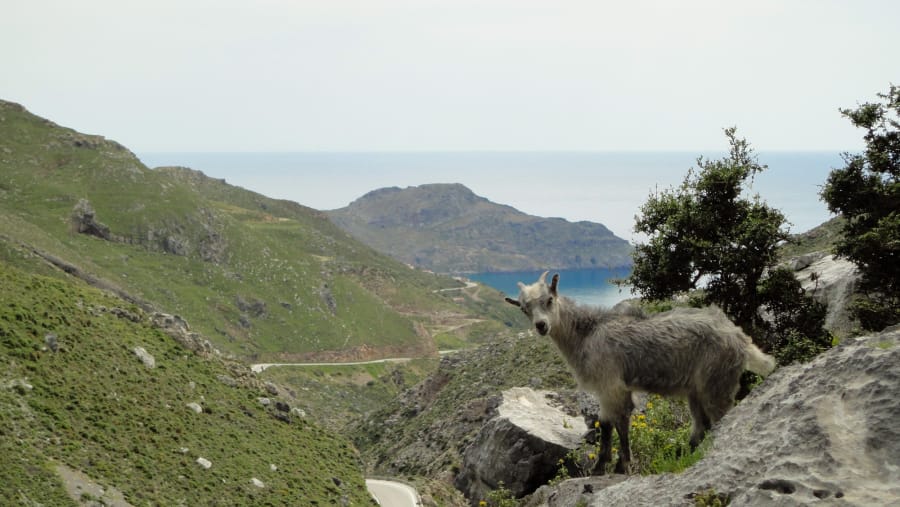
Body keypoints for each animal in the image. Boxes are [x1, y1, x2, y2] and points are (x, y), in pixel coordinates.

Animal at [502, 272, 776, 474]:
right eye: (524, 309)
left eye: (549, 299)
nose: (541, 326)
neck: (587, 334)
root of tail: (740, 339)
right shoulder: (611, 390)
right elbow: (613, 423)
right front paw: (611, 465)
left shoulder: (611, 386)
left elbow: (613, 423)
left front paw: (613, 466)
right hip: (696, 390)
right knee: (701, 425)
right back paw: (682, 453)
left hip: (716, 383)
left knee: (721, 417)